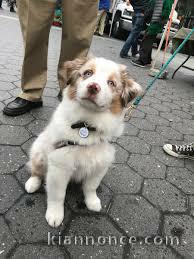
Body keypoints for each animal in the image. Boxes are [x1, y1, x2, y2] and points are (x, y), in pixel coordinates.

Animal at [25, 57, 142, 228]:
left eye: (111, 83)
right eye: (88, 73)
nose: (93, 87)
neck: (86, 125)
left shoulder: (100, 163)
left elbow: (91, 187)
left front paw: (92, 202)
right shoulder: (59, 165)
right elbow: (57, 195)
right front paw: (54, 215)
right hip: (39, 151)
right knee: (36, 170)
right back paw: (32, 184)